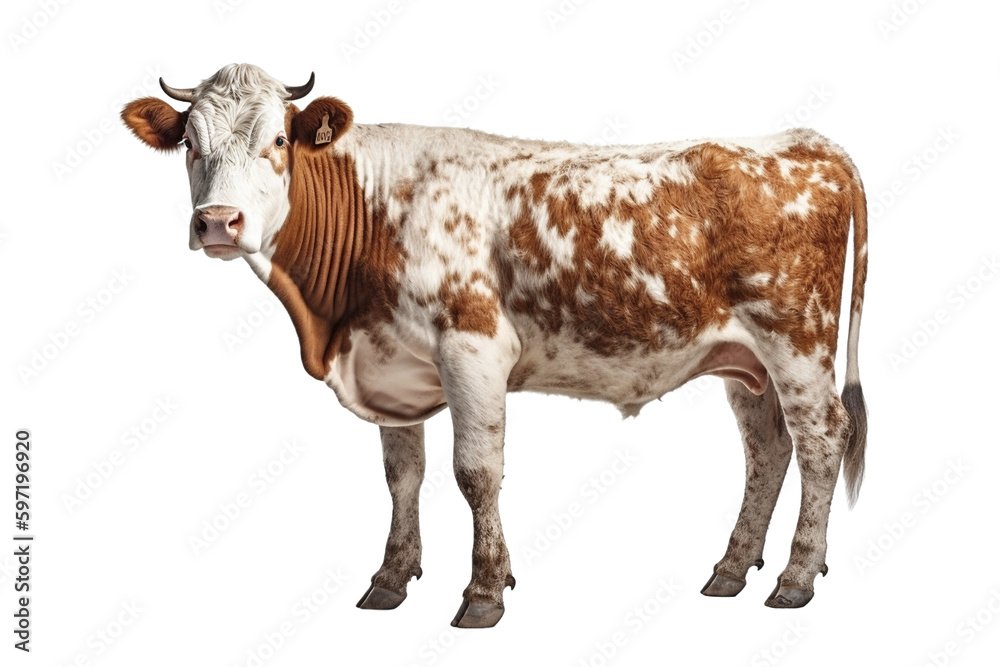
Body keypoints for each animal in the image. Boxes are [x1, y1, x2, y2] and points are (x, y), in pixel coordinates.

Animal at [121, 63, 868, 629]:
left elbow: (475, 473)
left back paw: (796, 577)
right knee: (767, 448)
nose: (218, 222)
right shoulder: (393, 362)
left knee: (822, 438)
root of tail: (806, 142)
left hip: (796, 339)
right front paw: (391, 578)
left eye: (278, 139)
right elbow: (403, 475)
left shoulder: (472, 349)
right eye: (188, 144)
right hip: (745, 363)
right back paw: (732, 569)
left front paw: (483, 591)